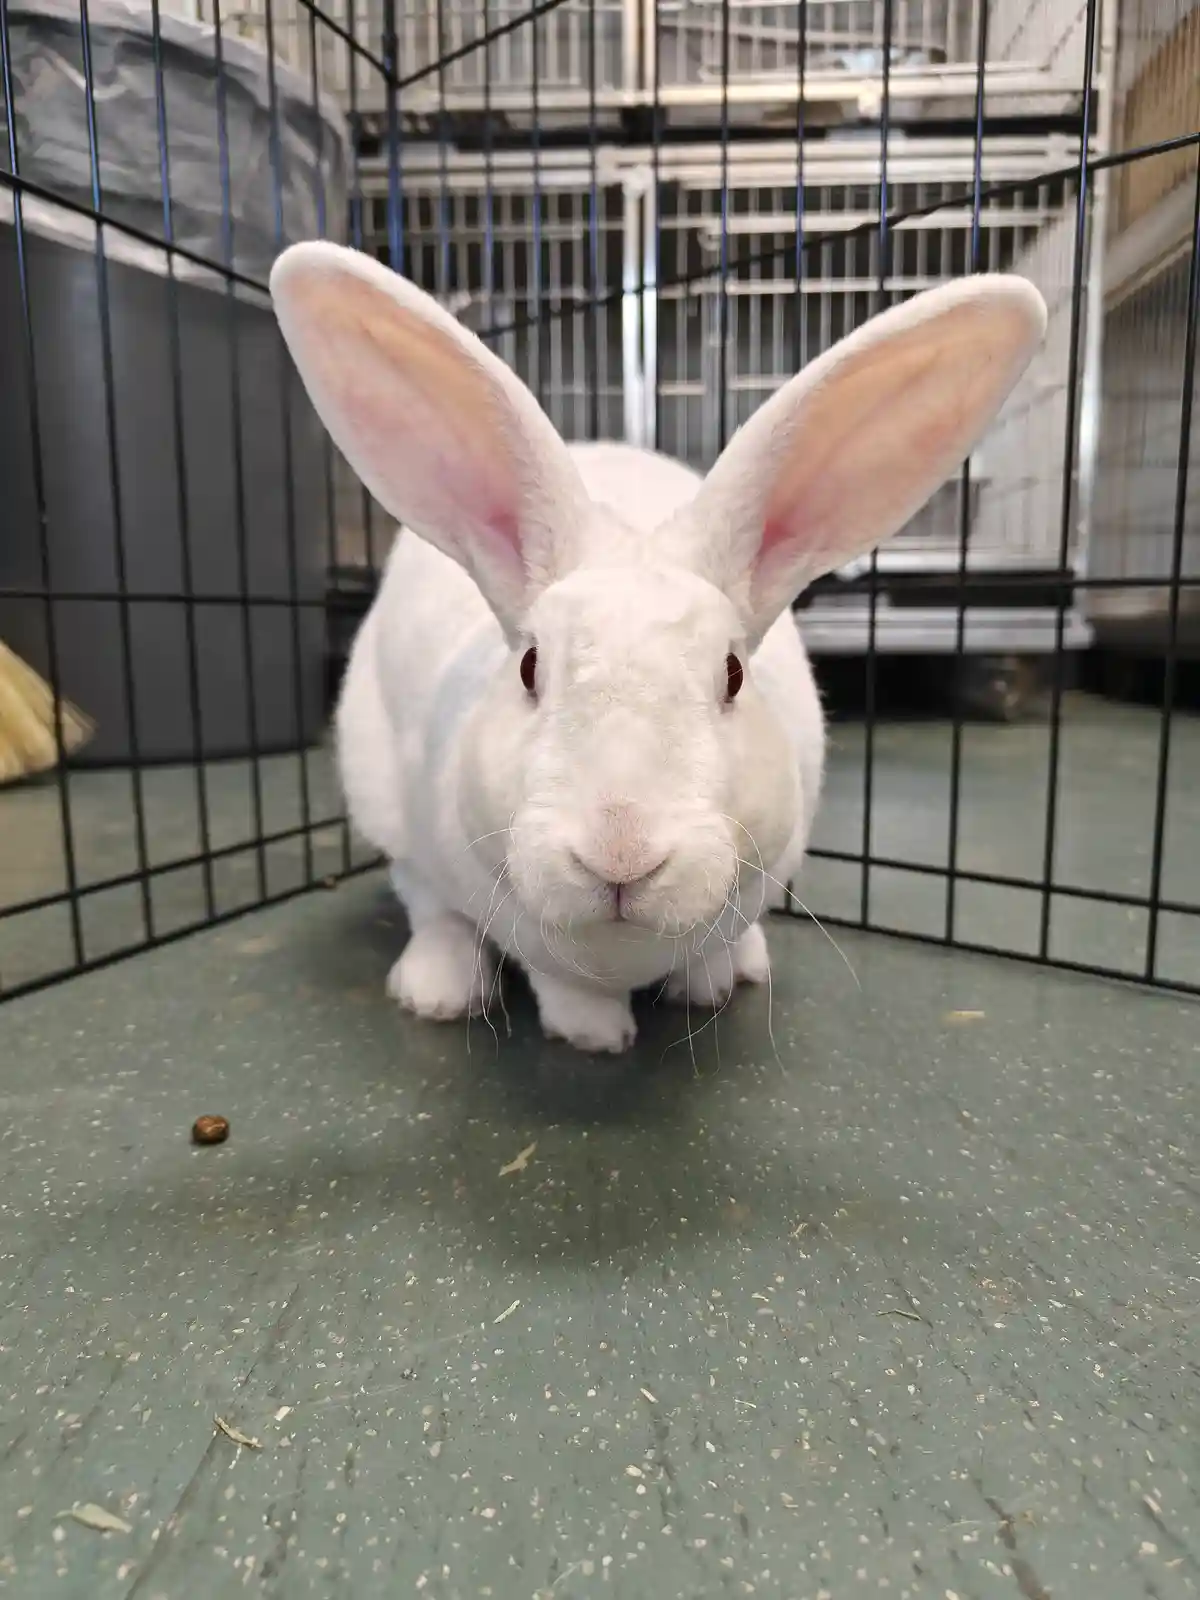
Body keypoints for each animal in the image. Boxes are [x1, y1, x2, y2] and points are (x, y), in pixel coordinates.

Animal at [271, 241, 1046, 1053]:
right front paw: (594, 1035)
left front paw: (709, 985)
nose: (621, 854)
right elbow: (551, 975)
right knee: (429, 907)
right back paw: (437, 989)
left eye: (733, 674)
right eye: (530, 666)